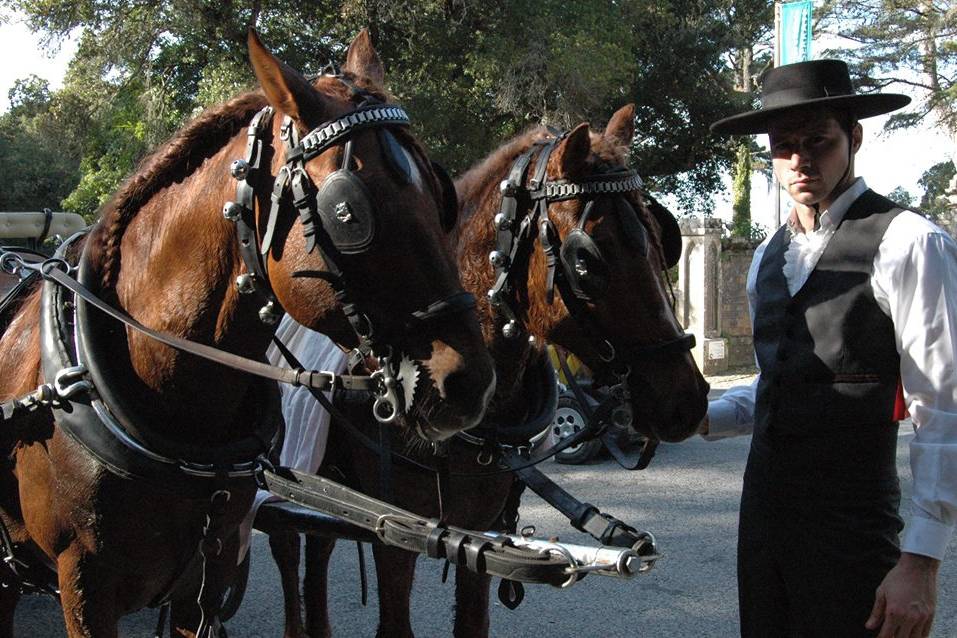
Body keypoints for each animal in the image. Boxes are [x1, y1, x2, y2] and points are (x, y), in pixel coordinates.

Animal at [268, 105, 708, 638]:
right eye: (585, 260)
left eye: (662, 239)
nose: (687, 400)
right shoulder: (393, 531)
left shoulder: (481, 532)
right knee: (287, 548)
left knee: (317, 548)